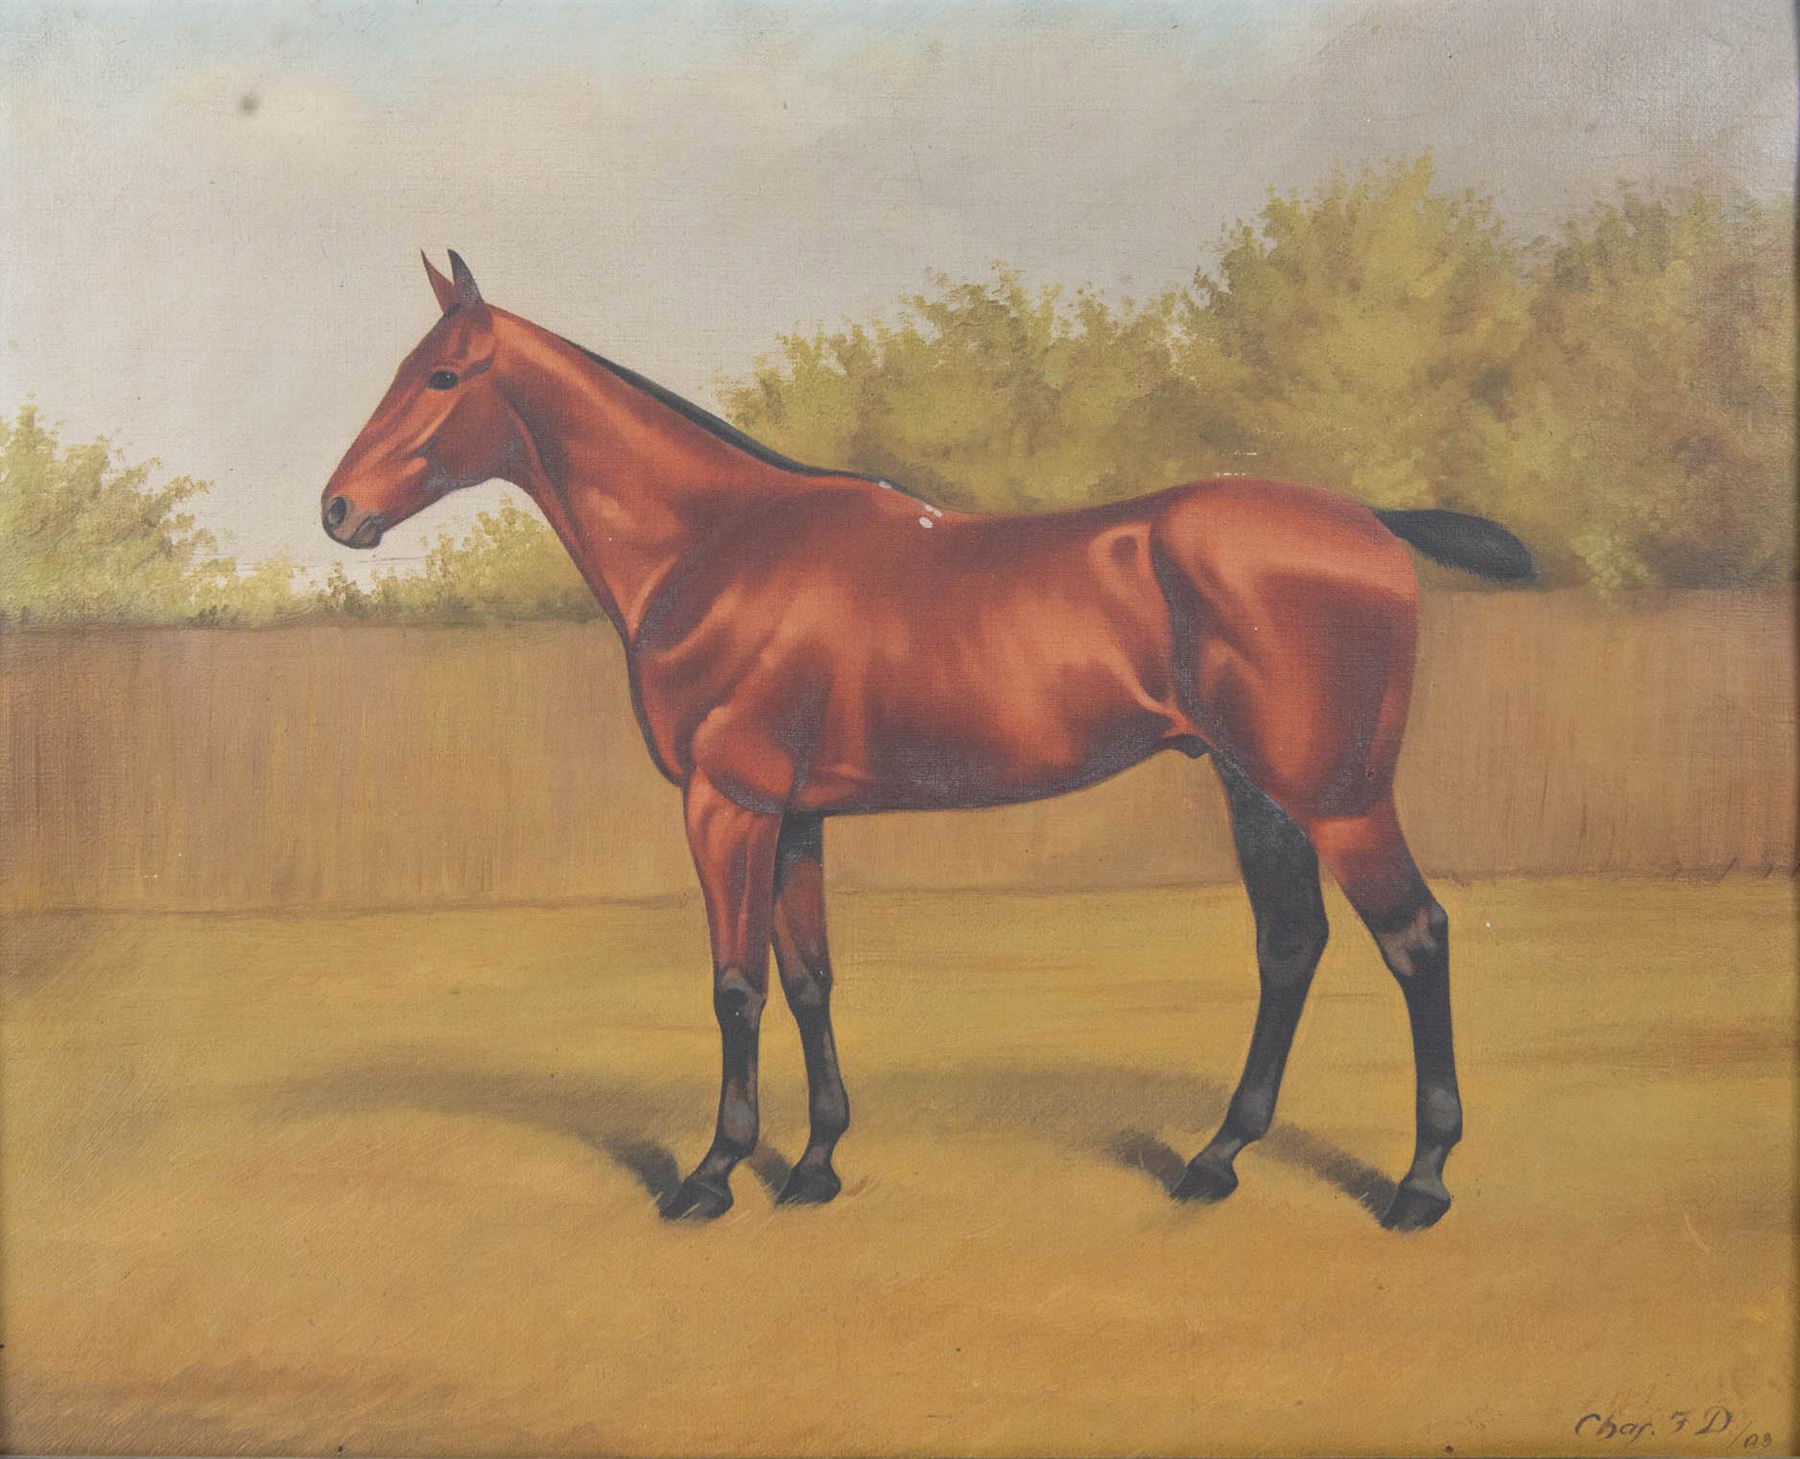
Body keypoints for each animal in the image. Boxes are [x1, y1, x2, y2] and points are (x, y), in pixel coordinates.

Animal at [321, 252, 1535, 1231]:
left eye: (440, 377)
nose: (337, 510)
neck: (717, 544)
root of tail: (1370, 520)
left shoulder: (727, 804)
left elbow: (736, 985)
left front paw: (713, 1174)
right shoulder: (797, 815)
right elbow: (809, 978)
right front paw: (814, 1165)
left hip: (1339, 800)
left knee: (1416, 938)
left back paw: (1420, 1184)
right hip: (1258, 793)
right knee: (1290, 946)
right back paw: (1215, 1159)